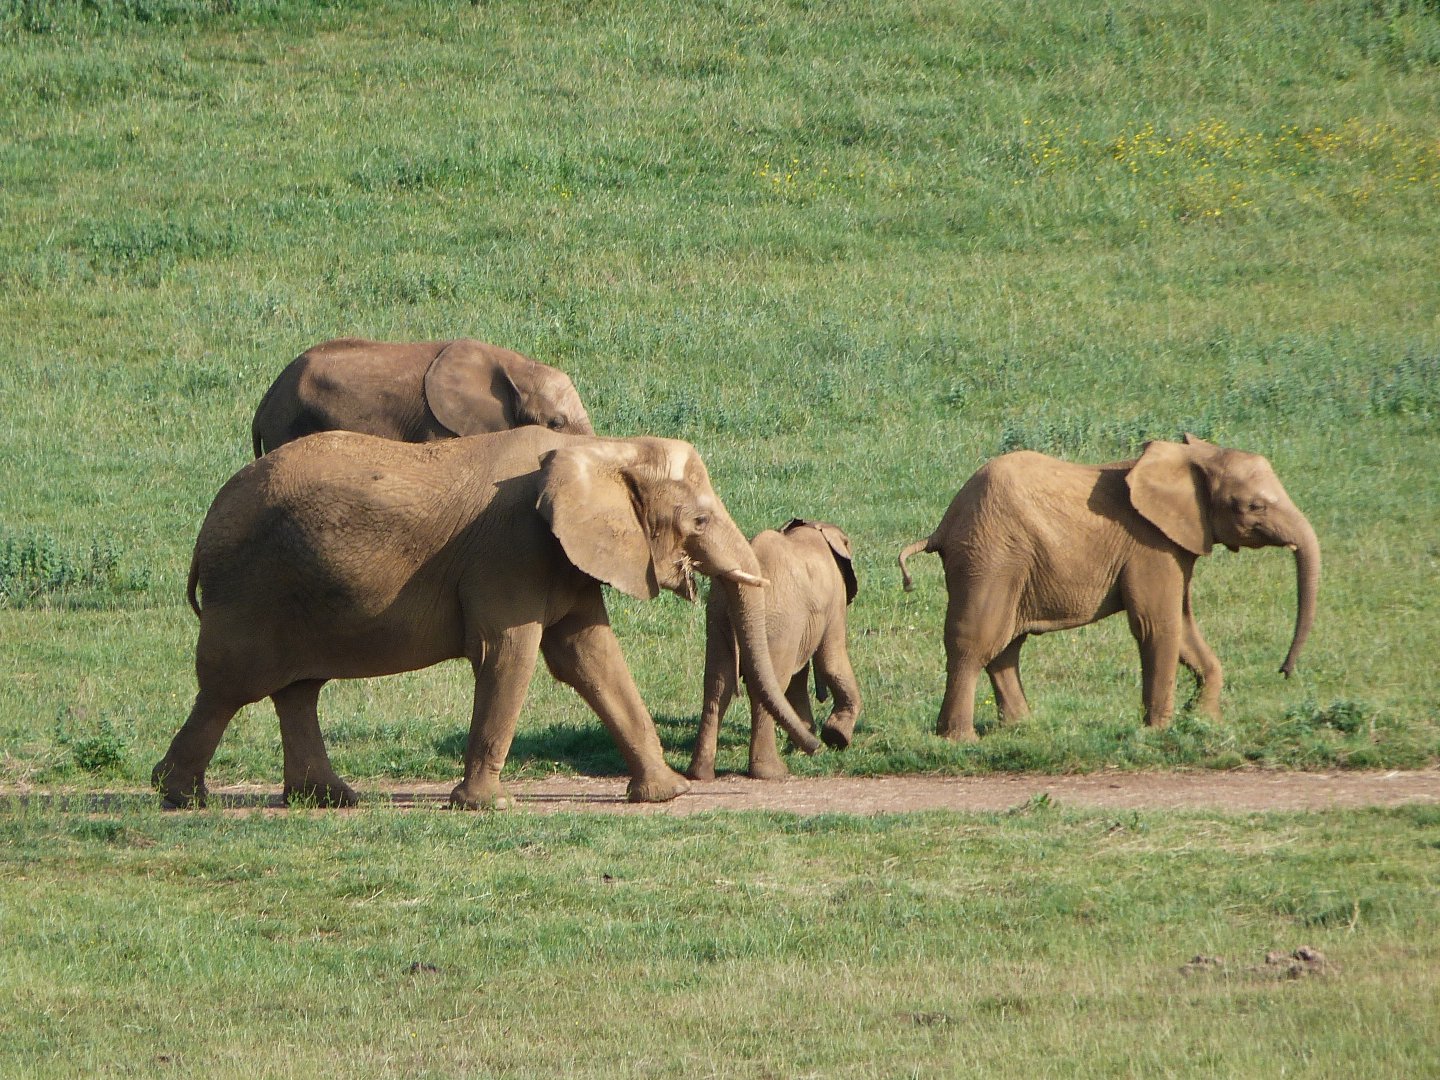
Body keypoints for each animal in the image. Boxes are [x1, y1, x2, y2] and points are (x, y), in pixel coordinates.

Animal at [151, 427, 820, 810]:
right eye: (699, 520)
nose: (823, 744)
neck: (603, 448)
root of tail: (205, 526)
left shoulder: (562, 556)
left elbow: (590, 654)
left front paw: (666, 794)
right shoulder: (512, 548)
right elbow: (510, 653)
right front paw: (487, 808)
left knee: (297, 690)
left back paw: (328, 800)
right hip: (252, 590)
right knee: (229, 688)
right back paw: (180, 796)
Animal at [688, 519, 862, 781]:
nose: (815, 748)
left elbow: (800, 676)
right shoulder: (833, 603)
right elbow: (831, 661)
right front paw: (836, 738)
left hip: (718, 616)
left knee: (718, 685)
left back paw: (700, 774)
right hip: (778, 622)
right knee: (771, 684)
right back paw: (773, 772)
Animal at [897, 435, 1319, 740]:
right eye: (1253, 507)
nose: (1284, 672)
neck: (1191, 457)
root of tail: (943, 525)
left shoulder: (1175, 545)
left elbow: (1182, 625)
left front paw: (1204, 721)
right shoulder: (1151, 545)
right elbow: (1157, 625)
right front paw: (1159, 732)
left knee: (1006, 646)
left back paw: (1022, 729)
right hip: (992, 557)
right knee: (976, 642)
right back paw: (961, 740)